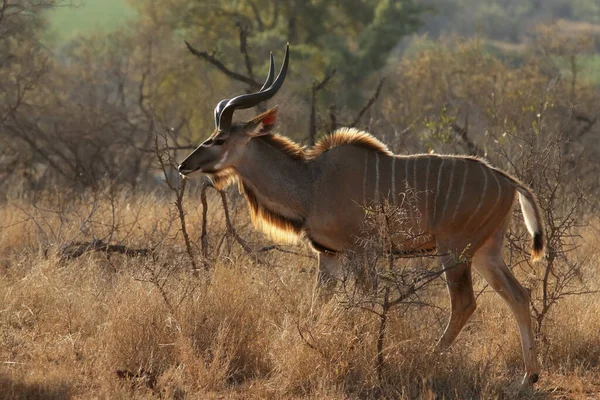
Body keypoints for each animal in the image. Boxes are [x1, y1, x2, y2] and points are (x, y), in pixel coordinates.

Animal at [177, 43, 544, 384]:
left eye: (219, 139)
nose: (184, 165)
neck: (312, 182)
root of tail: (506, 180)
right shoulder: (329, 254)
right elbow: (318, 305)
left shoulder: (362, 252)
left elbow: (365, 302)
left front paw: (368, 353)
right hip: (485, 252)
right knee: (519, 294)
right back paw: (528, 377)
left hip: (454, 250)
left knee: (465, 303)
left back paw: (431, 356)